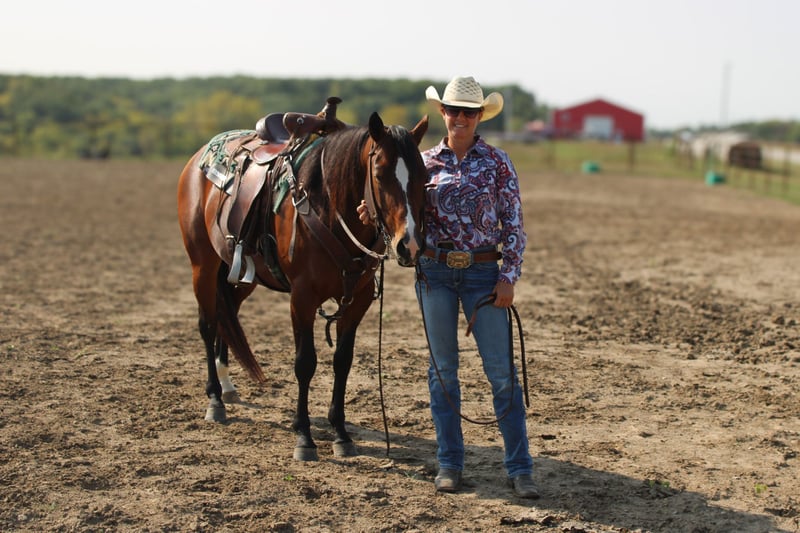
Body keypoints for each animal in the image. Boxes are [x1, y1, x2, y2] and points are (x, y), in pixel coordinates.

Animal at [177, 105, 429, 460]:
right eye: (380, 174)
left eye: (424, 176)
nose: (410, 245)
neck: (327, 206)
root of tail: (198, 159)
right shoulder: (302, 299)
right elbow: (305, 363)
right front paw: (304, 437)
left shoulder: (359, 299)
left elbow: (342, 362)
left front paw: (341, 434)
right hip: (202, 264)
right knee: (208, 323)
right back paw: (214, 398)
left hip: (240, 275)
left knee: (228, 316)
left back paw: (227, 386)